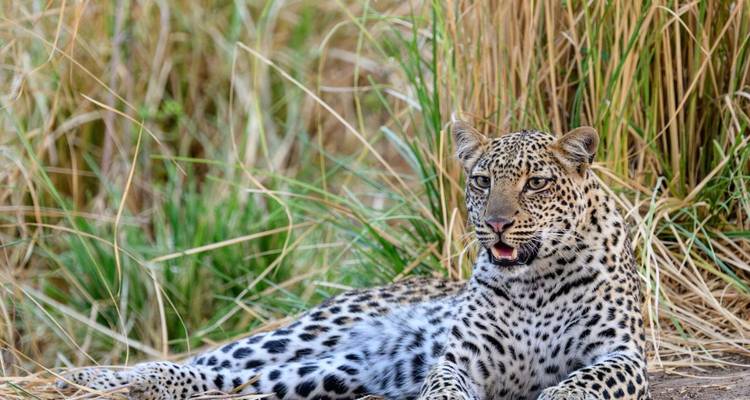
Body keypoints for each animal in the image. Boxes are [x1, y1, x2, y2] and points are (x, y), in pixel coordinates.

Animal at [59, 119, 650, 400]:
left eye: (537, 183)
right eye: (483, 181)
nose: (497, 223)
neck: (534, 283)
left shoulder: (623, 356)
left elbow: (585, 381)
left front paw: (560, 393)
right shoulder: (457, 360)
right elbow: (442, 385)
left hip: (326, 372)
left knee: (224, 379)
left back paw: (131, 385)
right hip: (310, 332)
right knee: (209, 360)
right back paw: (86, 377)